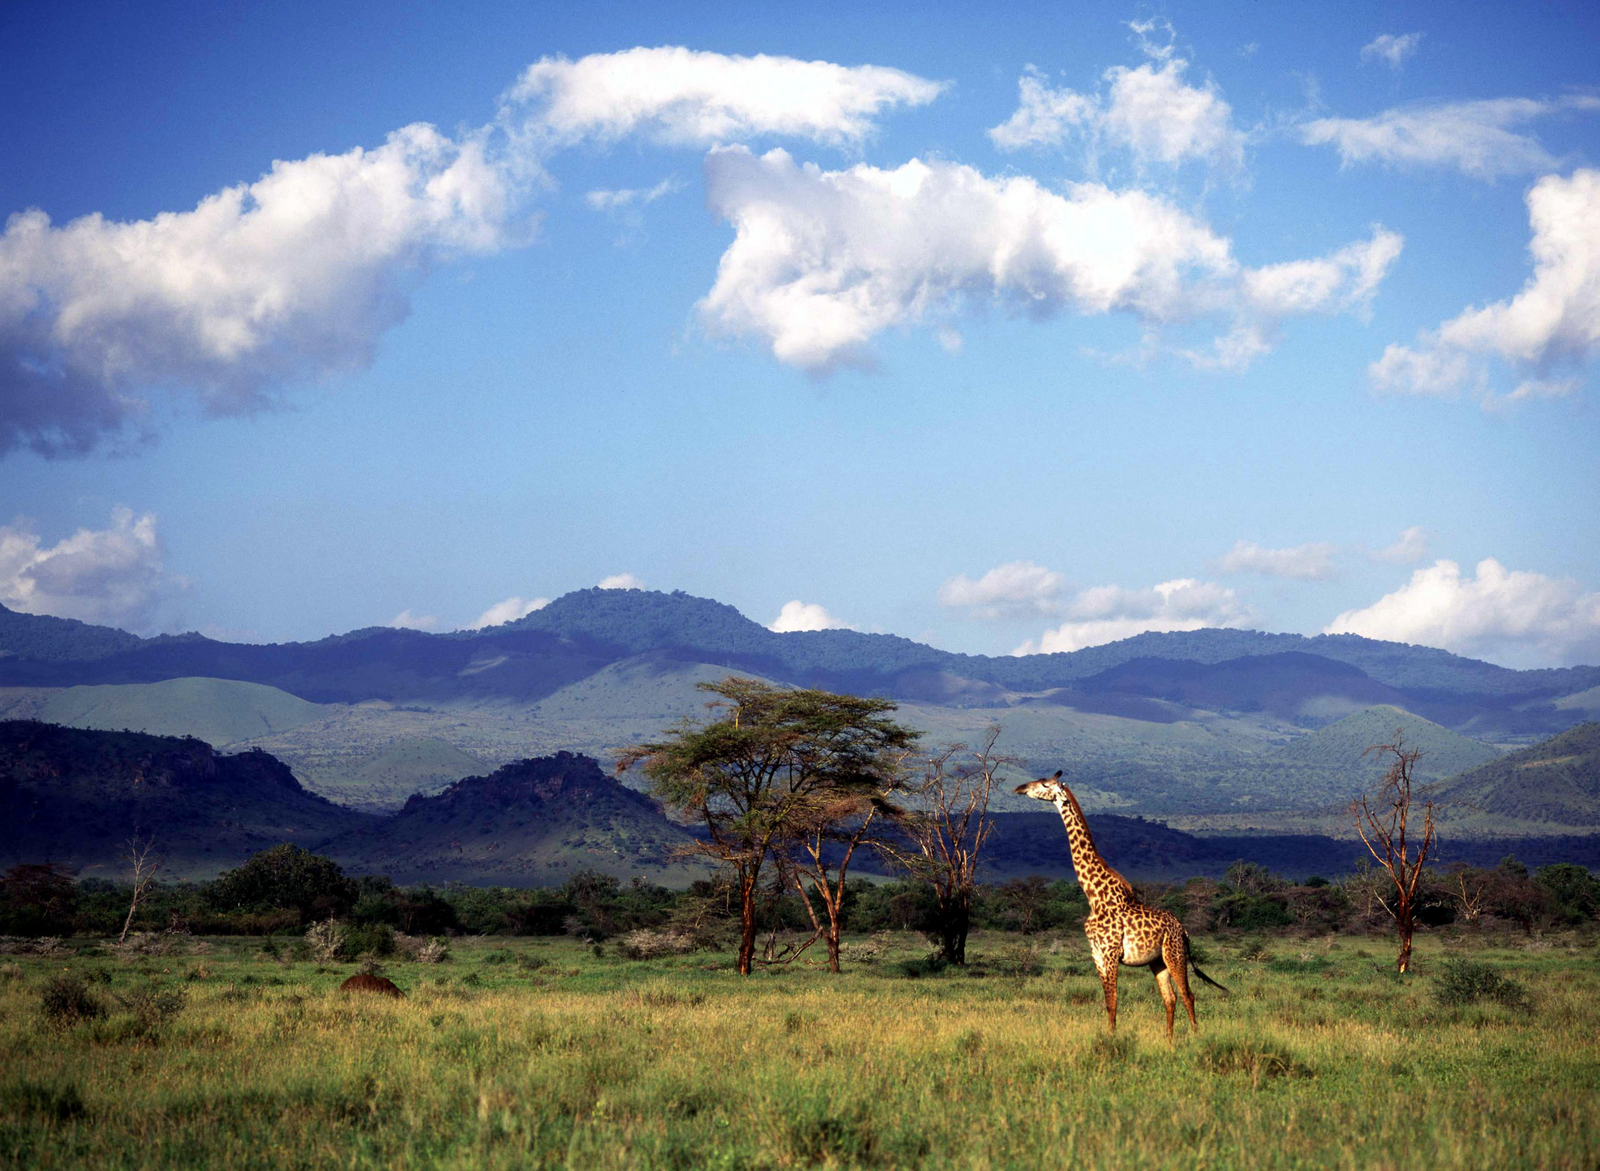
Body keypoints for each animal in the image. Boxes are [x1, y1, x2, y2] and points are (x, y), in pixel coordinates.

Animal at [1015, 771, 1227, 1038]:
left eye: (1044, 784)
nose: (1020, 788)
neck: (1094, 896)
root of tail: (1184, 930)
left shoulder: (1110, 952)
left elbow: (1114, 999)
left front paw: (1111, 1038)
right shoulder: (1096, 954)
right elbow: (1107, 1001)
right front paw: (1109, 1034)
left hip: (1174, 954)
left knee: (1188, 995)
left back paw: (1195, 1037)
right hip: (1157, 961)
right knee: (1170, 998)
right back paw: (1168, 1040)